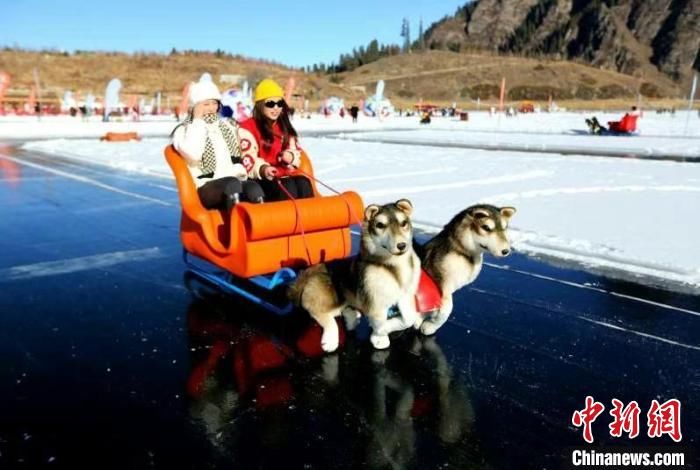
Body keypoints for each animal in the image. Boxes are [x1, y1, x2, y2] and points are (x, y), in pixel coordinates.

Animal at [288, 199, 422, 352]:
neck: (392, 266)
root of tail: (307, 274)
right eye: (380, 225)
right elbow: (380, 323)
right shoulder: (375, 302)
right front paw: (379, 335)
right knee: (322, 314)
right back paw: (330, 340)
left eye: (404, 223)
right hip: (329, 297)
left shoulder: (405, 295)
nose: (401, 245)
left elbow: (409, 318)